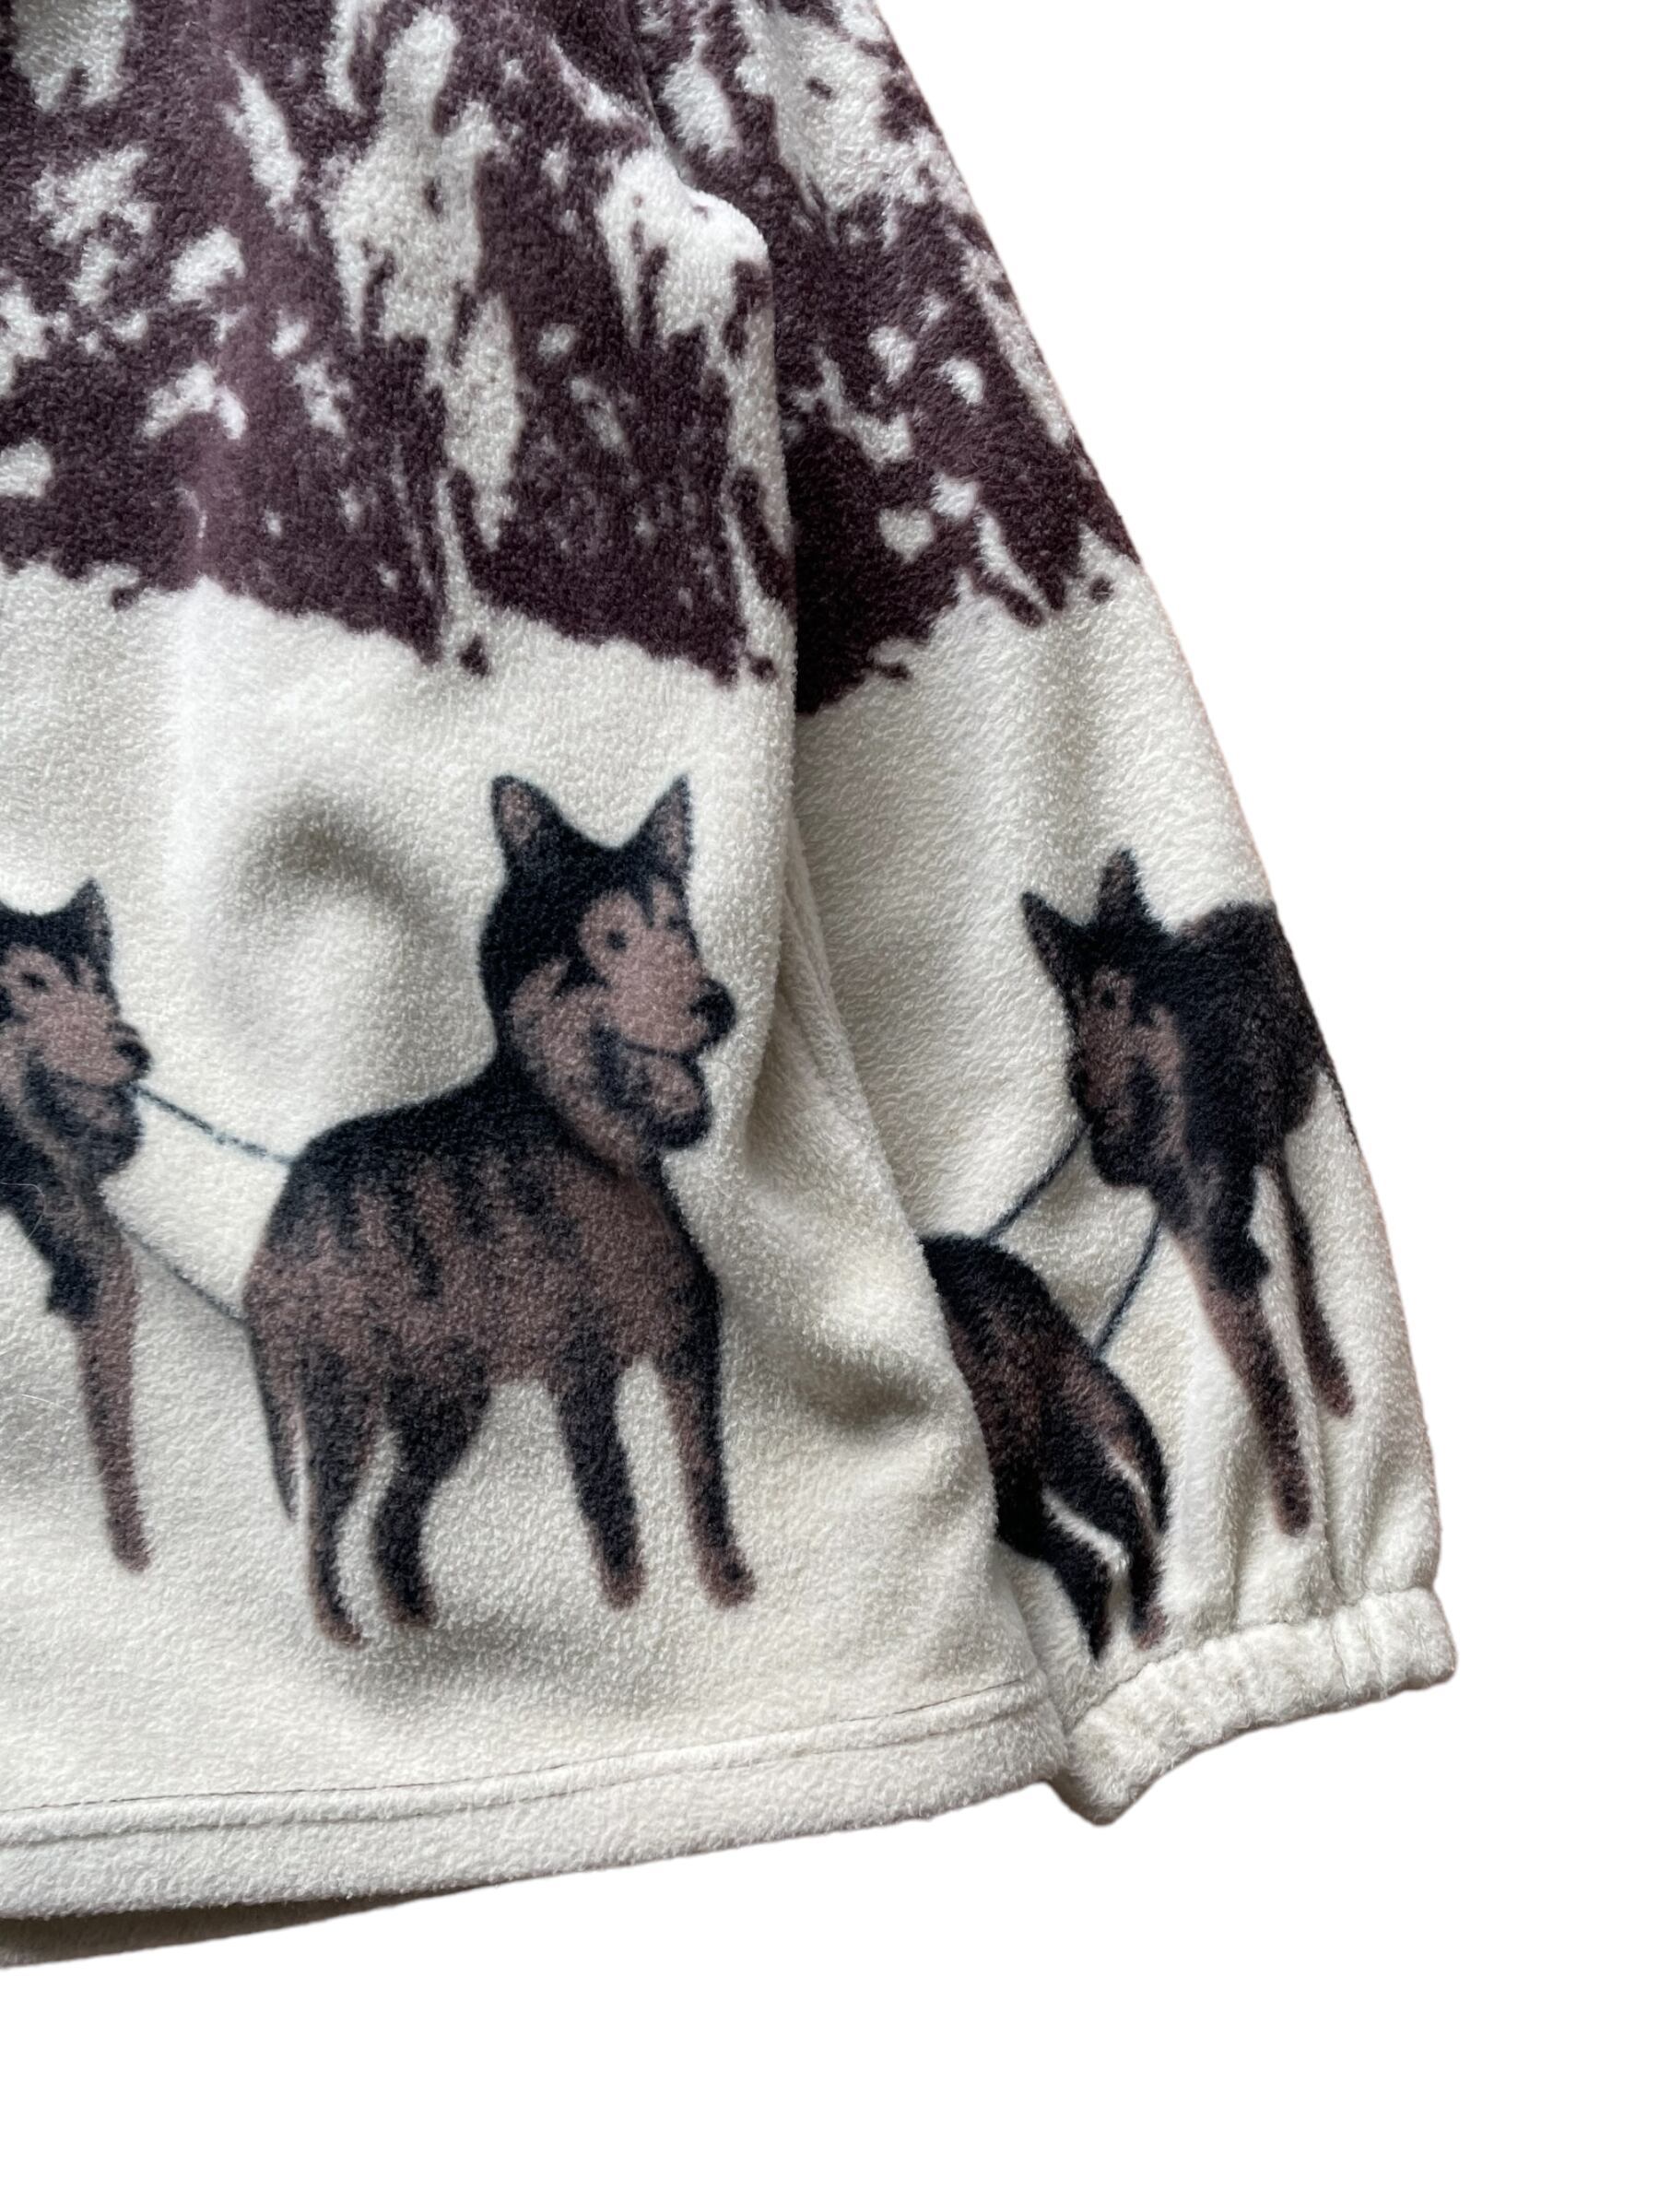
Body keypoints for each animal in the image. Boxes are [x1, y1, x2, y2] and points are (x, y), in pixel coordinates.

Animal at [243, 775, 750, 1643]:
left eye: (682, 930)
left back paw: (418, 1618)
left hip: (445, 1404)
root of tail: (288, 1198)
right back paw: (344, 1630)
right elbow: (612, 1505)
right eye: (613, 939)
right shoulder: (580, 1373)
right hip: (346, 1399)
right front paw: (628, 1604)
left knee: (390, 1522)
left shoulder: (691, 1354)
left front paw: (727, 1589)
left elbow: (706, 1483)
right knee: (324, 1528)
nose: (718, 1006)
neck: (601, 1159)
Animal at [1023, 852, 1354, 1533]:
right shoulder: (1198, 1241)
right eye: (1071, 1005)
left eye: (1111, 996)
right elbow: (1257, 1364)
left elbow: (1273, 1343)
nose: (1081, 1097)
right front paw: (1292, 1508)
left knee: (1304, 1236)